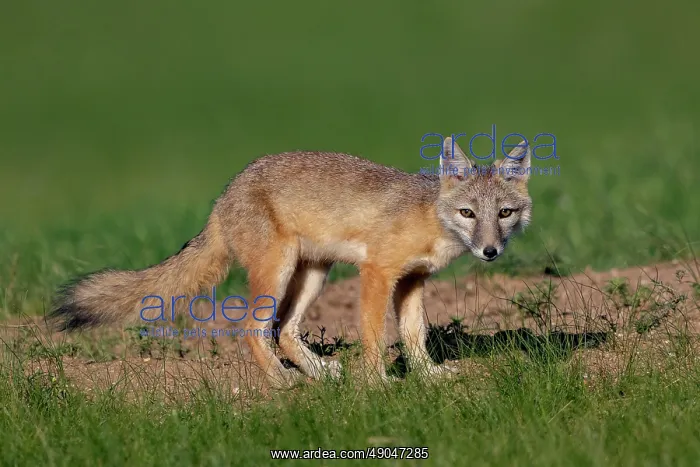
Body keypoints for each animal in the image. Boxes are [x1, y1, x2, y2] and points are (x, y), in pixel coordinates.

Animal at [50, 136, 532, 388]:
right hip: (278, 274)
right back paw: (282, 382)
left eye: (504, 214)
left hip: (313, 276)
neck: (430, 216)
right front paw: (378, 383)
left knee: (284, 330)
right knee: (252, 329)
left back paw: (317, 372)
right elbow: (376, 336)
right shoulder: (377, 273)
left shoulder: (412, 280)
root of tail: (225, 194)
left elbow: (414, 335)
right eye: (467, 213)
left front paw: (429, 376)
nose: (490, 251)